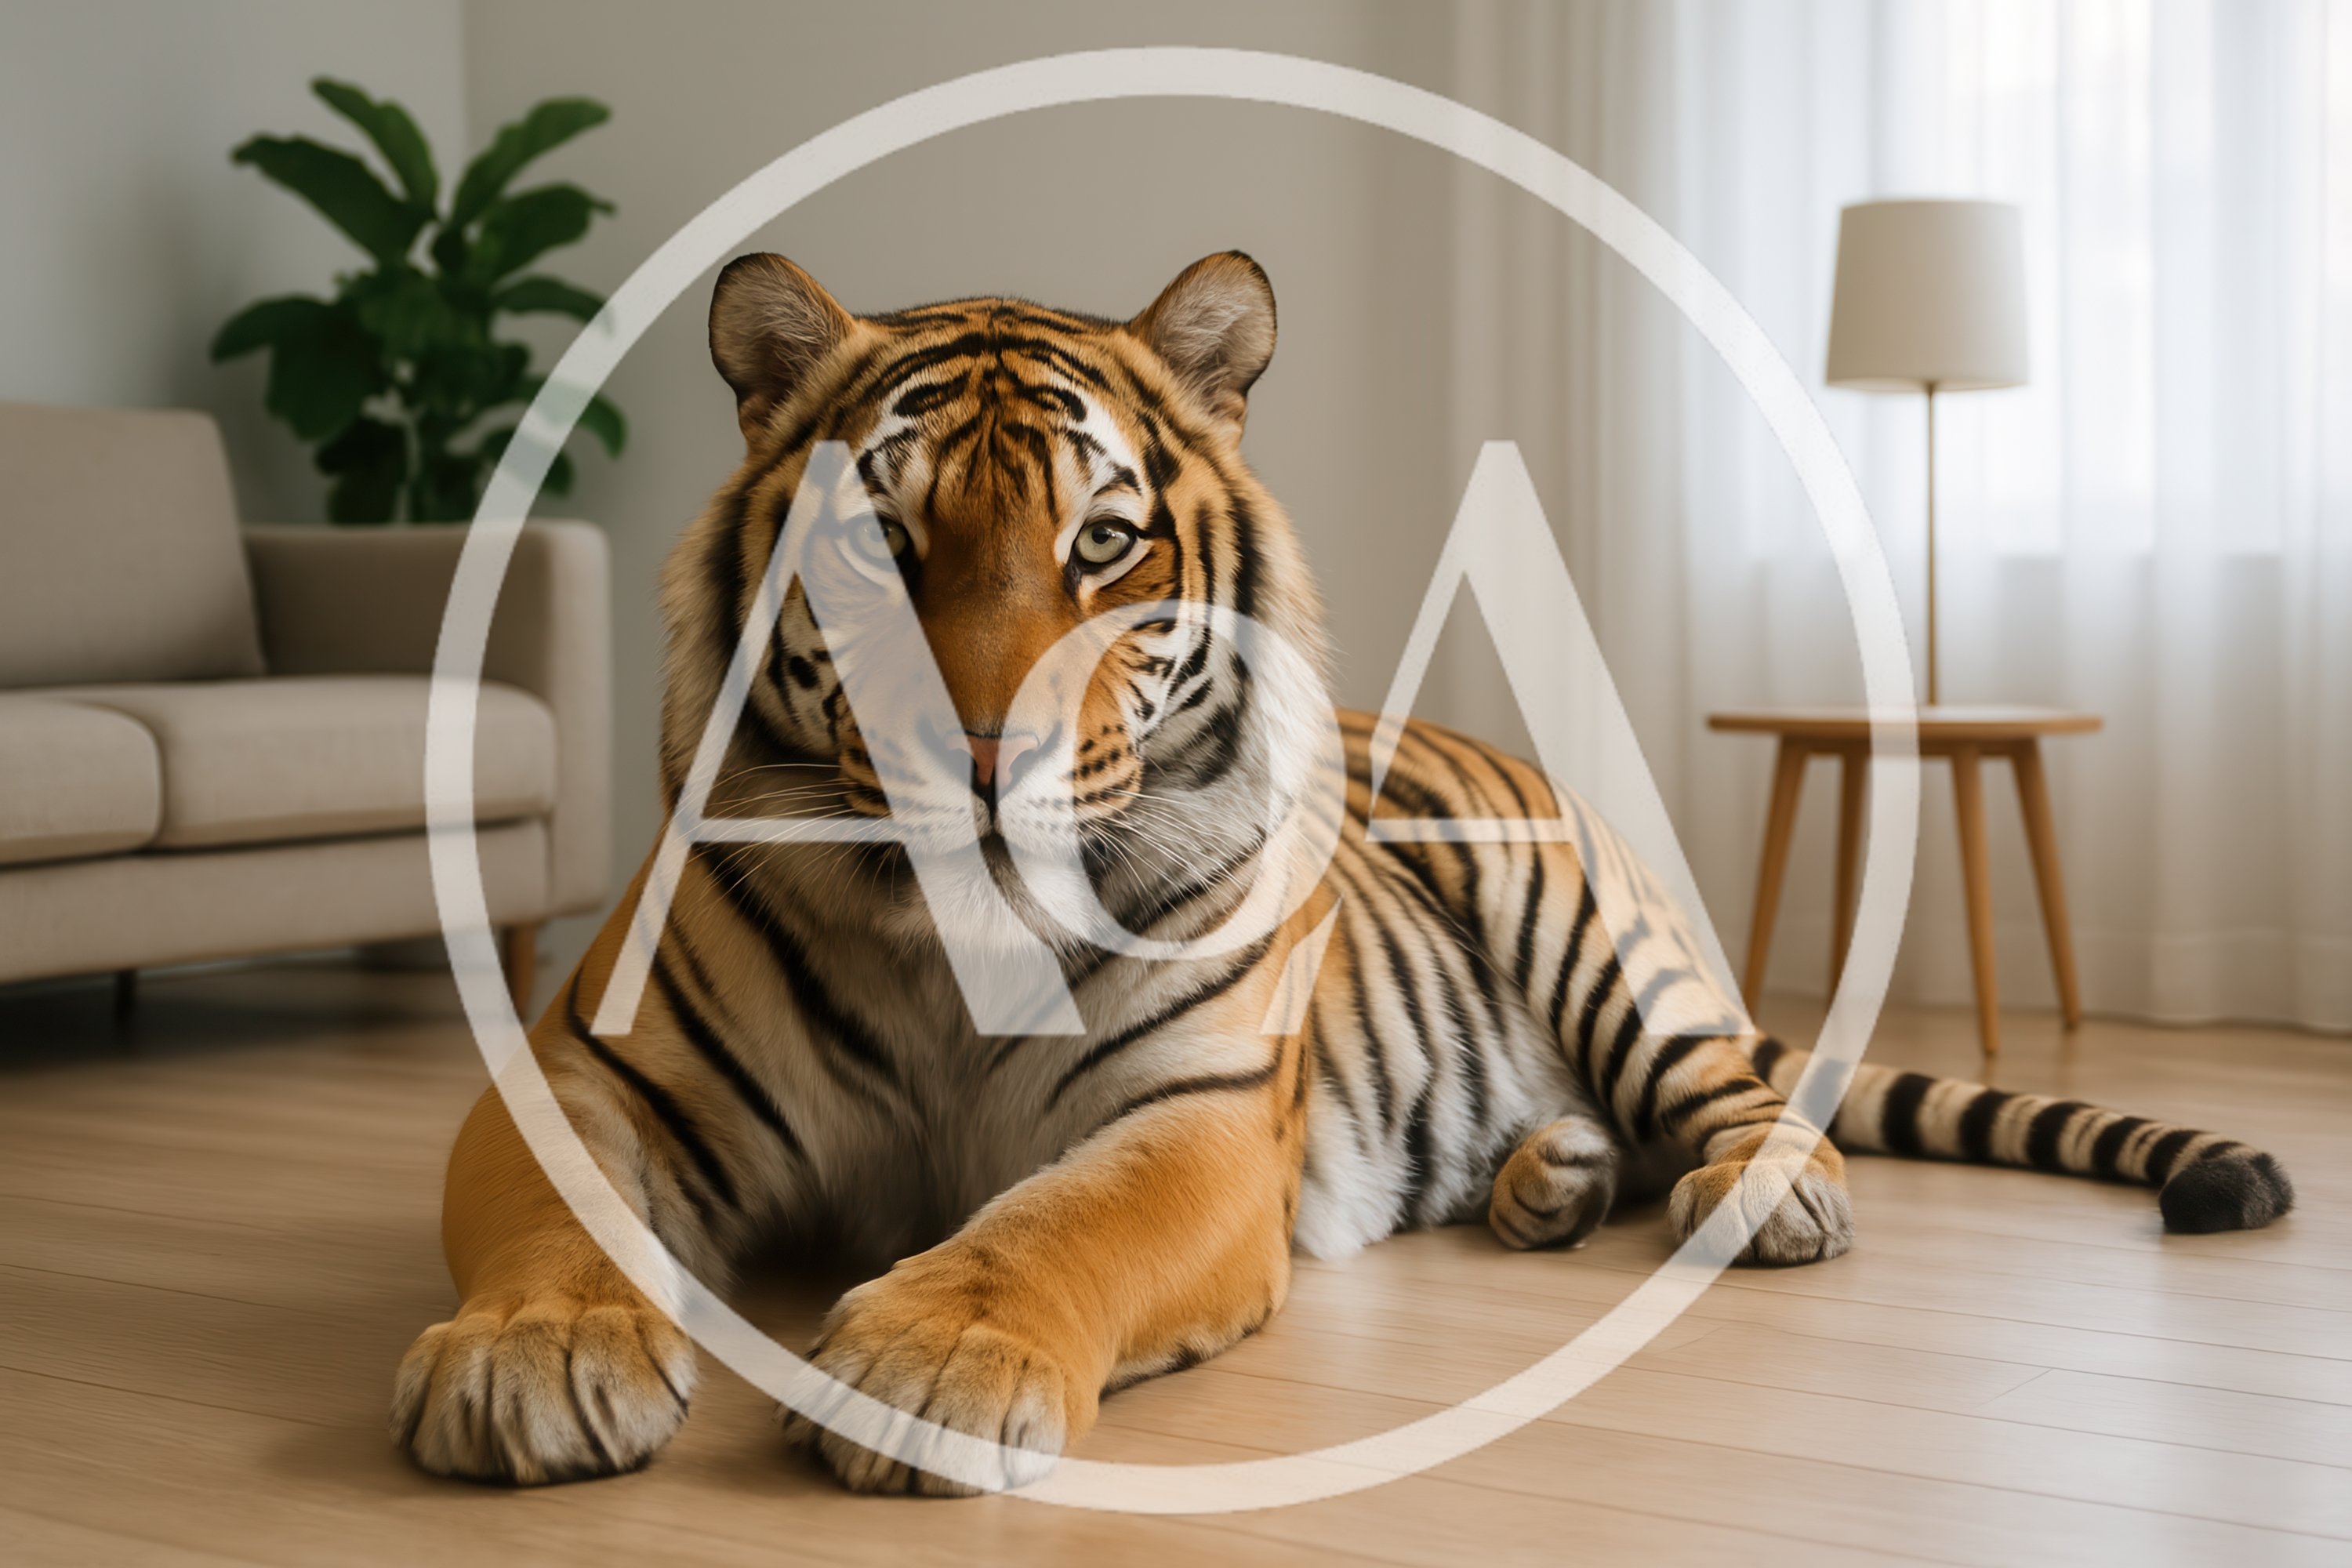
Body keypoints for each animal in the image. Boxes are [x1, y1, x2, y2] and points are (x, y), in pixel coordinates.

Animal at [391, 250, 2295, 1494]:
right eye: (878, 538)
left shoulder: (1203, 1118)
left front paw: (923, 1364)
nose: (984, 762)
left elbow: (1045, 1224)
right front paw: (533, 1356)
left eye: (1104, 542)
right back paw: (1550, 1180)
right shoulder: (586, 1069)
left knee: (1742, 1098)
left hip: (1593, 934)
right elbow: (561, 1212)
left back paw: (1753, 1197)